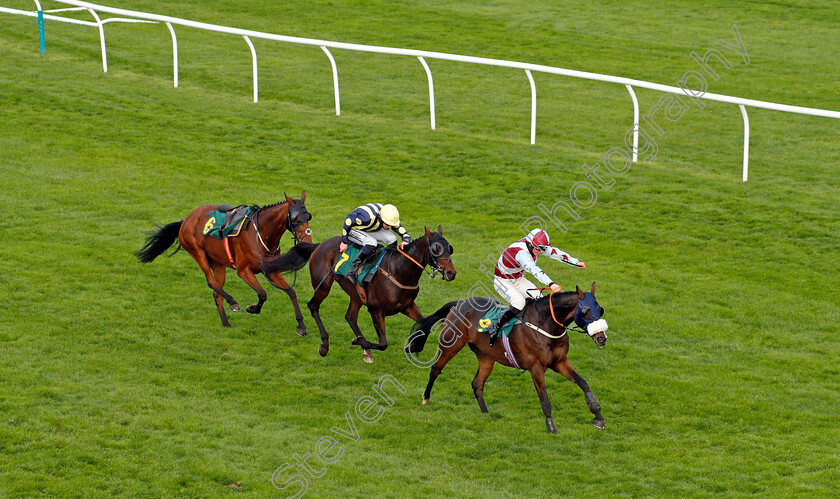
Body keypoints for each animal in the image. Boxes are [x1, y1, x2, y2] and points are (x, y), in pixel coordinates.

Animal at [135, 191, 318, 332]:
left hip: (217, 263)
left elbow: (291, 292)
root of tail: (186, 219)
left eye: (308, 216)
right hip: (197, 252)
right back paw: (233, 302)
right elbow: (262, 293)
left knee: (217, 291)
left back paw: (225, 322)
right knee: (211, 282)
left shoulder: (272, 270)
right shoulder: (244, 271)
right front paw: (253, 308)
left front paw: (301, 326)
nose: (307, 240)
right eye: (295, 217)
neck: (262, 233)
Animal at [406, 286, 608, 434]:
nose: (602, 338)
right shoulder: (536, 367)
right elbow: (544, 398)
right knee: (436, 369)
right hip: (451, 345)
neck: (546, 324)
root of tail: (461, 302)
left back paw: (486, 413)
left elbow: (583, 383)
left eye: (600, 309)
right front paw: (551, 427)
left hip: (486, 357)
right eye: (586, 311)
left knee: (477, 383)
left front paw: (598, 415)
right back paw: (426, 397)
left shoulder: (559, 362)